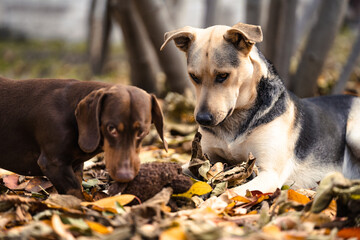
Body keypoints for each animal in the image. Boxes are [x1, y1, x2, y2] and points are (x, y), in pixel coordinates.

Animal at [0, 22, 360, 200]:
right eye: (193, 77)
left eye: (223, 76)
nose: (201, 120)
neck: (235, 121)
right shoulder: (207, 159)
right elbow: (190, 170)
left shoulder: (268, 172)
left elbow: (232, 192)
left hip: (354, 129)